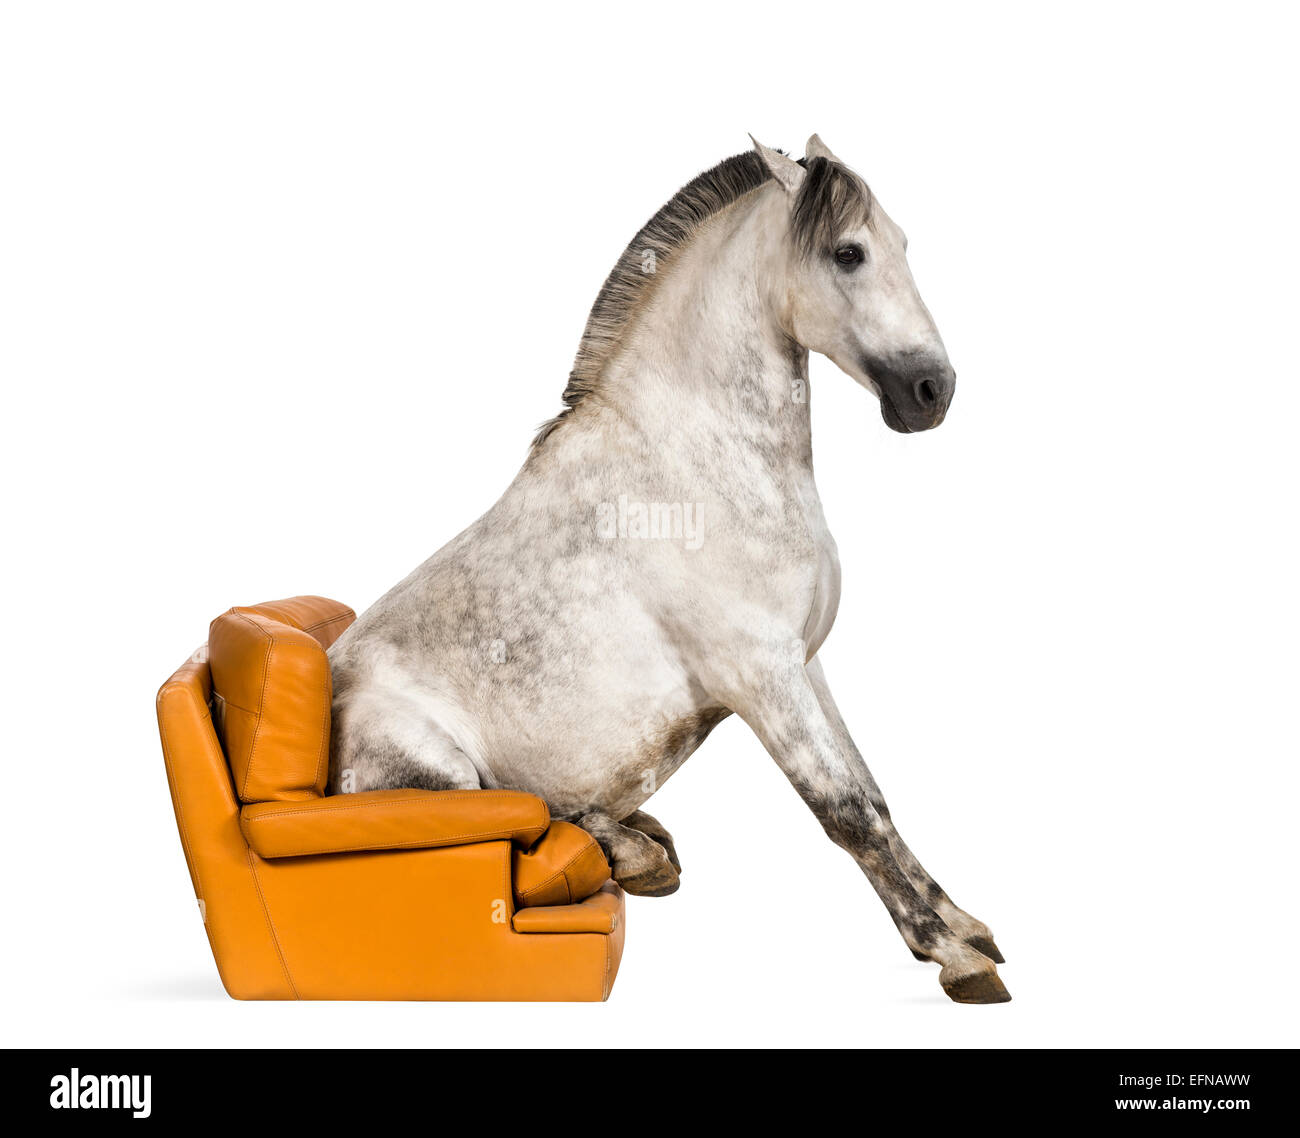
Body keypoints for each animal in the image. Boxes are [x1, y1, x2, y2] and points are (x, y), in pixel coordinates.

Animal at [327, 135, 1013, 1004]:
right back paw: (632, 852)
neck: (693, 463)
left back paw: (641, 850)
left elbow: (874, 793)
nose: (933, 391)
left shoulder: (803, 664)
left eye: (902, 244)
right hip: (436, 767)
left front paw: (963, 925)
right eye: (848, 253)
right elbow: (846, 810)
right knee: (521, 816)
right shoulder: (759, 676)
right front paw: (954, 956)